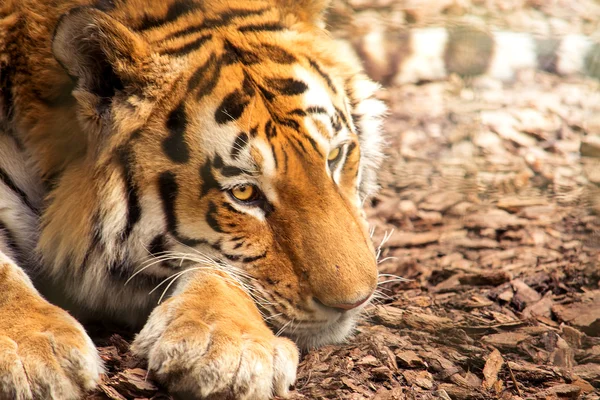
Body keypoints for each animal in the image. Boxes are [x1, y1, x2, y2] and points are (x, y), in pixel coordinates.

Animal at [0, 0, 384, 400]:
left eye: (334, 156)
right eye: (243, 192)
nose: (355, 301)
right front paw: (34, 353)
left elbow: (218, 266)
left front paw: (229, 350)